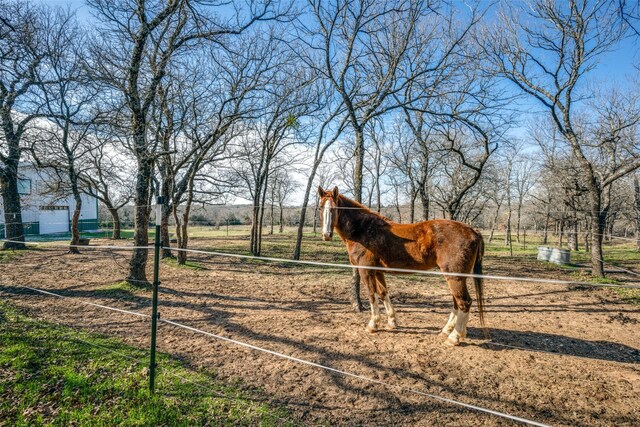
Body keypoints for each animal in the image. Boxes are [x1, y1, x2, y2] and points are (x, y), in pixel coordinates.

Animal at [318, 186, 488, 346]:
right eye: (320, 207)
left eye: (334, 208)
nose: (326, 235)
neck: (363, 230)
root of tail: (472, 230)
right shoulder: (378, 271)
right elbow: (383, 293)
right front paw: (391, 322)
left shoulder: (366, 270)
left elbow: (372, 295)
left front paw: (373, 324)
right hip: (455, 277)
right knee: (456, 301)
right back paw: (446, 330)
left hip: (455, 276)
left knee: (464, 302)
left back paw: (454, 337)